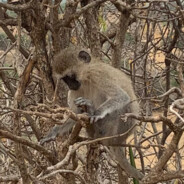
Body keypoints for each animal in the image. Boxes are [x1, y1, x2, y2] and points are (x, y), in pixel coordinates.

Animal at [40, 46, 144, 180]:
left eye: (70, 76)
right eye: (65, 79)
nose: (70, 85)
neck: (86, 77)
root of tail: (118, 140)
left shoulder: (98, 75)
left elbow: (121, 97)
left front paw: (96, 113)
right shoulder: (76, 90)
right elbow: (74, 114)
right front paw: (54, 132)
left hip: (122, 127)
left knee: (123, 107)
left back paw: (96, 123)